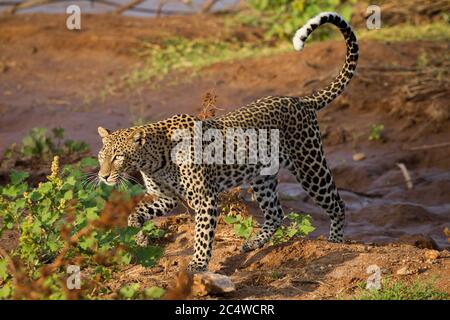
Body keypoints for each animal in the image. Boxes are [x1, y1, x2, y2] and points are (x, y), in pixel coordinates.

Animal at [96, 13, 358, 272]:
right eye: (101, 157)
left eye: (118, 156)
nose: (103, 176)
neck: (153, 162)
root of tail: (301, 100)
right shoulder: (166, 197)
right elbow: (140, 210)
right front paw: (137, 231)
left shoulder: (205, 199)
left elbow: (202, 234)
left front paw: (198, 264)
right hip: (262, 177)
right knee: (275, 213)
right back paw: (253, 244)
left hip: (310, 166)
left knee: (337, 203)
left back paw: (335, 241)